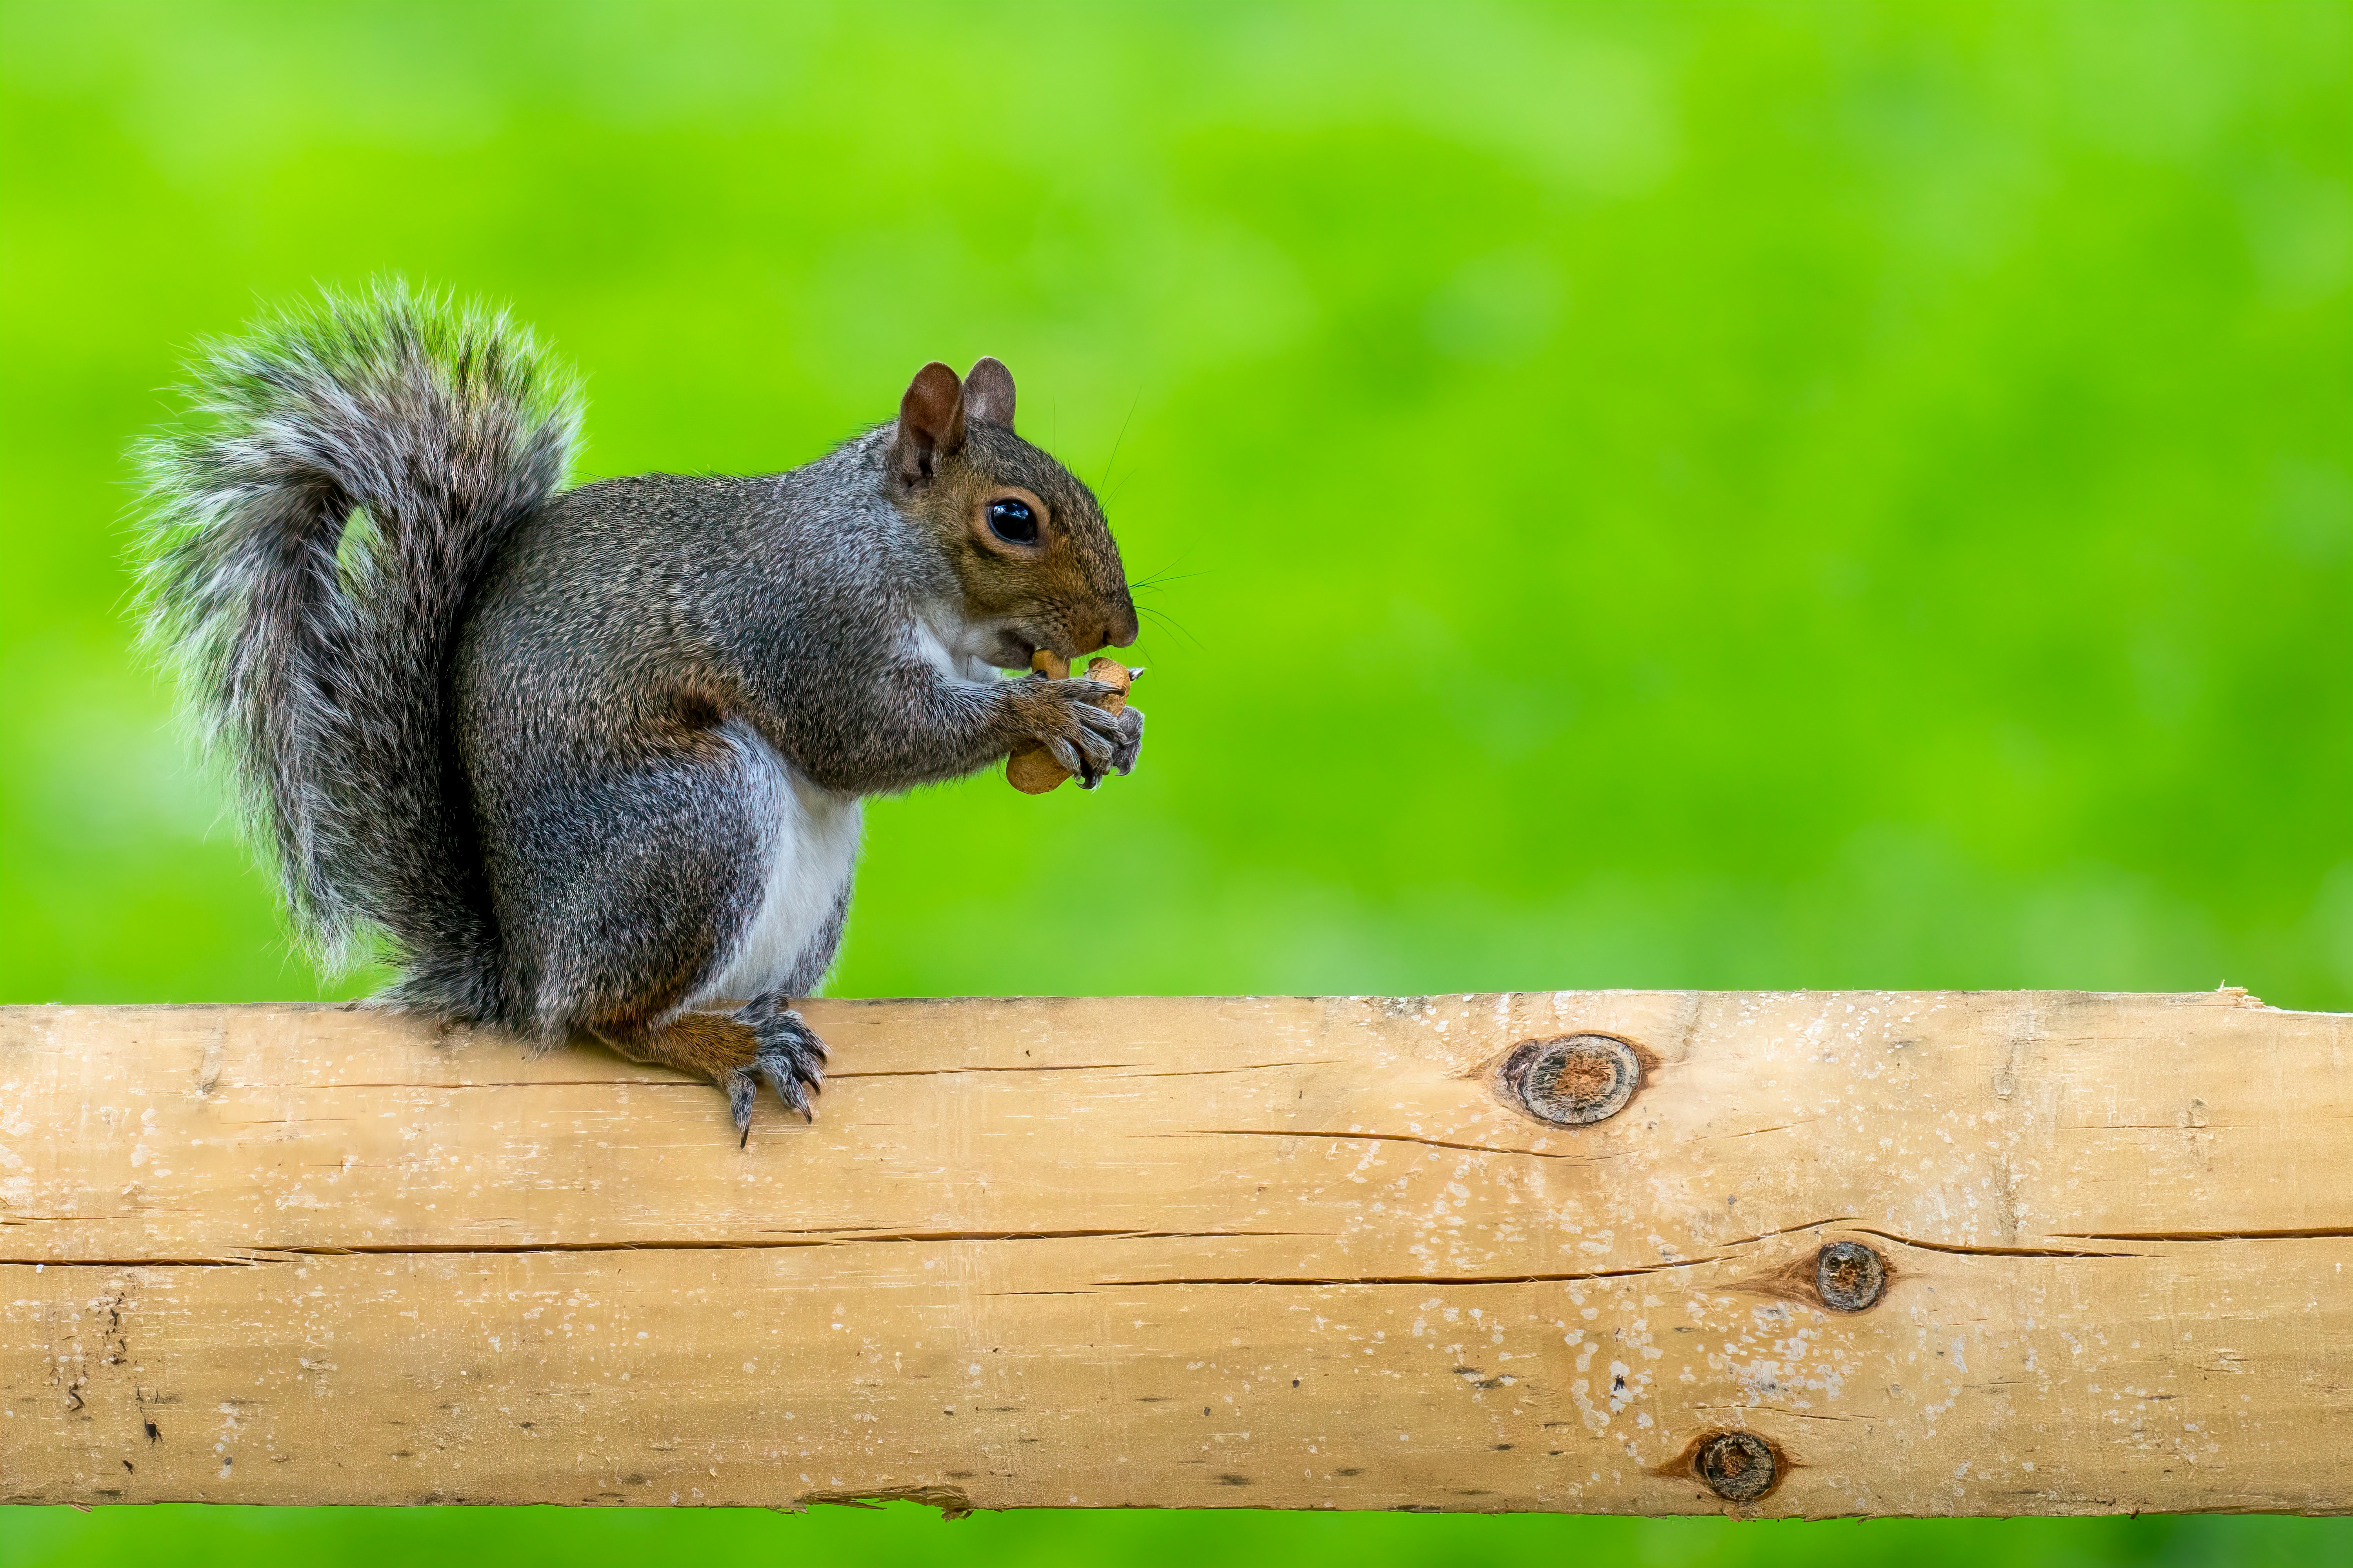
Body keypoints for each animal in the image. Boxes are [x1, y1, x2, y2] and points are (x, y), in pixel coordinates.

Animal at [137, 283, 1144, 1141]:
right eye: (1012, 520)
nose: (1120, 627)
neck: (879, 544)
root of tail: (525, 973)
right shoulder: (804, 621)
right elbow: (868, 735)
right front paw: (1047, 710)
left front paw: (1112, 720)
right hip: (693, 823)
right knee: (606, 1018)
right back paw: (720, 1041)